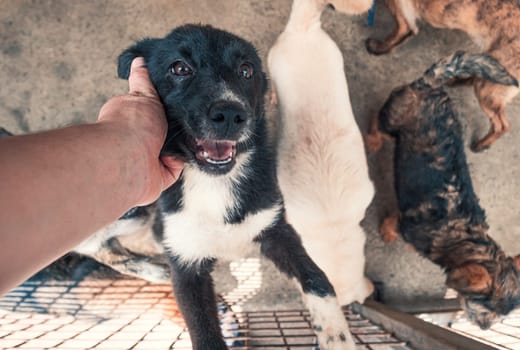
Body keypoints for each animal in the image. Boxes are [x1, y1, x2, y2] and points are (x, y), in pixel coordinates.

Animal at [116, 25, 356, 350]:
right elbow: (204, 332)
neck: (213, 183)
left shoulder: (276, 230)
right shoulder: (186, 266)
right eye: (179, 68)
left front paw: (336, 333)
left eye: (246, 70)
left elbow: (317, 277)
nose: (230, 115)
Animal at [366, 0, 520, 152]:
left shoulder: (400, 9)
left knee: (502, 126)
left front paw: (380, 47)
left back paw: (481, 145)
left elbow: (401, 30)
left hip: (488, 88)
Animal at [366, 50, 520, 330]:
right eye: (484, 309)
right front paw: (387, 235)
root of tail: (431, 85)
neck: (464, 239)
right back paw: (372, 141)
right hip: (392, 119)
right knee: (377, 123)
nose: (485, 328)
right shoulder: (405, 222)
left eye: (502, 317)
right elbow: (392, 225)